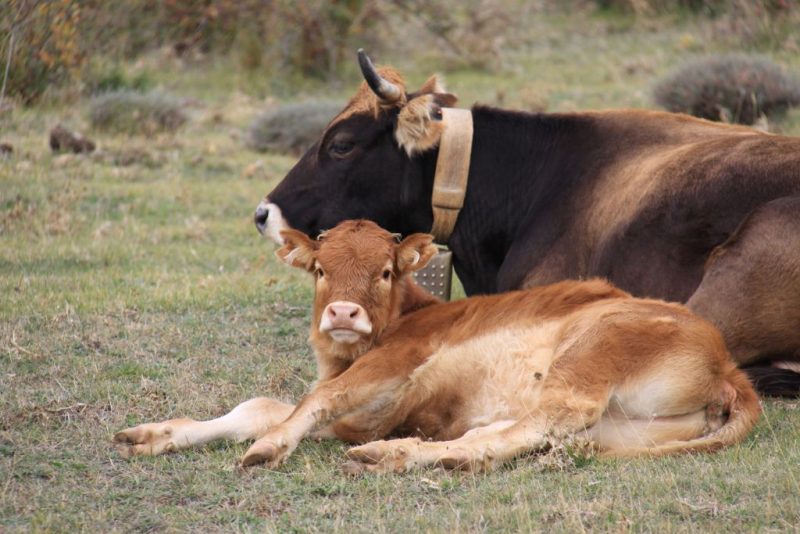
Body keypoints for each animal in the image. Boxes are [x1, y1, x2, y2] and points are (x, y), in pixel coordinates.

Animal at [114, 221, 764, 474]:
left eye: (383, 272)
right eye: (320, 269)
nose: (342, 313)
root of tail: (728, 365)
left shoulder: (390, 371)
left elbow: (311, 401)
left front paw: (270, 447)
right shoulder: (361, 410)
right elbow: (264, 407)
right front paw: (158, 435)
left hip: (588, 356)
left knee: (531, 426)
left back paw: (394, 455)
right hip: (620, 428)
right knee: (512, 438)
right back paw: (409, 452)